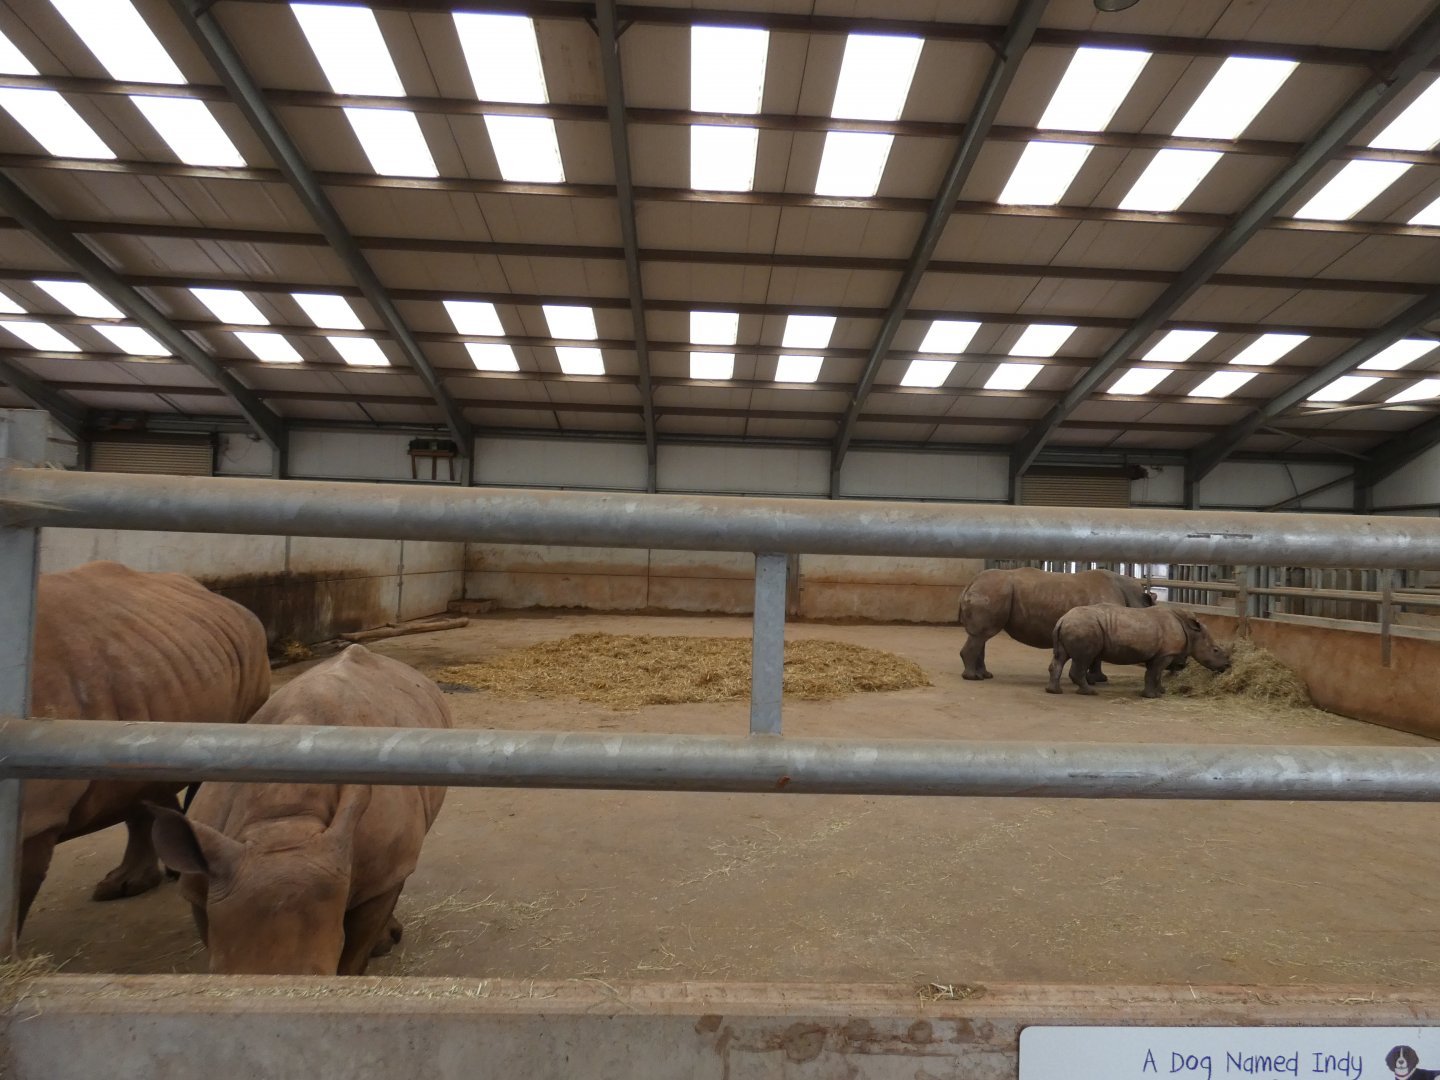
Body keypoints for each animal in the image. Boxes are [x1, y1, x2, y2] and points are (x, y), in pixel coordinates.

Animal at [959, 567, 1154, 681]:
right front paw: (1099, 679)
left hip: (990, 590)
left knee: (981, 637)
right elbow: (1097, 656)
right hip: (992, 590)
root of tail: (971, 583)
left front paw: (1097, 679)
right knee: (981, 636)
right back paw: (972, 677)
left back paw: (985, 675)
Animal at [1047, 603, 1231, 698]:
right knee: (1084, 659)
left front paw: (1160, 691)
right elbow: (1154, 673)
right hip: (1083, 627)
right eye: (1215, 650)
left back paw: (1054, 691)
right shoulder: (1165, 654)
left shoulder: (1158, 653)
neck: (1192, 631)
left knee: (1060, 657)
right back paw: (1090, 692)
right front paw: (1153, 696)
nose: (1227, 665)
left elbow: (1154, 674)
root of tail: (1062, 619)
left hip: (1075, 625)